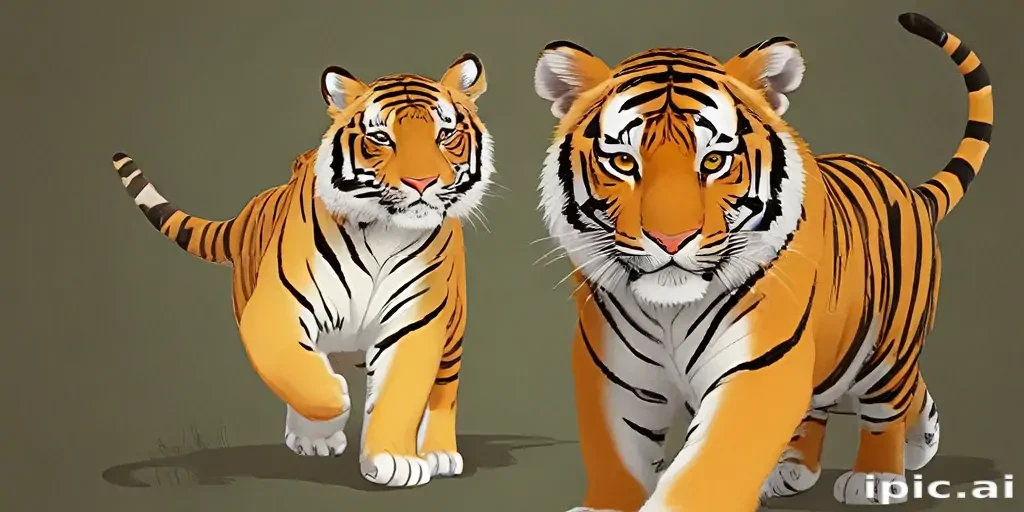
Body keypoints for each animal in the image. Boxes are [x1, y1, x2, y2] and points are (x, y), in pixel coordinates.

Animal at [110, 53, 494, 488]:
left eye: (445, 134)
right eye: (381, 138)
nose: (422, 182)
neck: (382, 230)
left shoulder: (417, 321)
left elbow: (400, 393)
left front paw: (393, 460)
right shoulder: (273, 310)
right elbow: (297, 374)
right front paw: (333, 409)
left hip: (453, 330)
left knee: (444, 391)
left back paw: (438, 454)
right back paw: (316, 436)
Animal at [531, 12, 991, 512]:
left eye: (714, 160)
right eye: (622, 162)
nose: (671, 240)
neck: (669, 310)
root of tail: (912, 191)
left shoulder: (757, 366)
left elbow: (710, 464)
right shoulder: (613, 376)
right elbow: (615, 454)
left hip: (889, 343)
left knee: (887, 403)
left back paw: (878, 475)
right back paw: (826, 464)